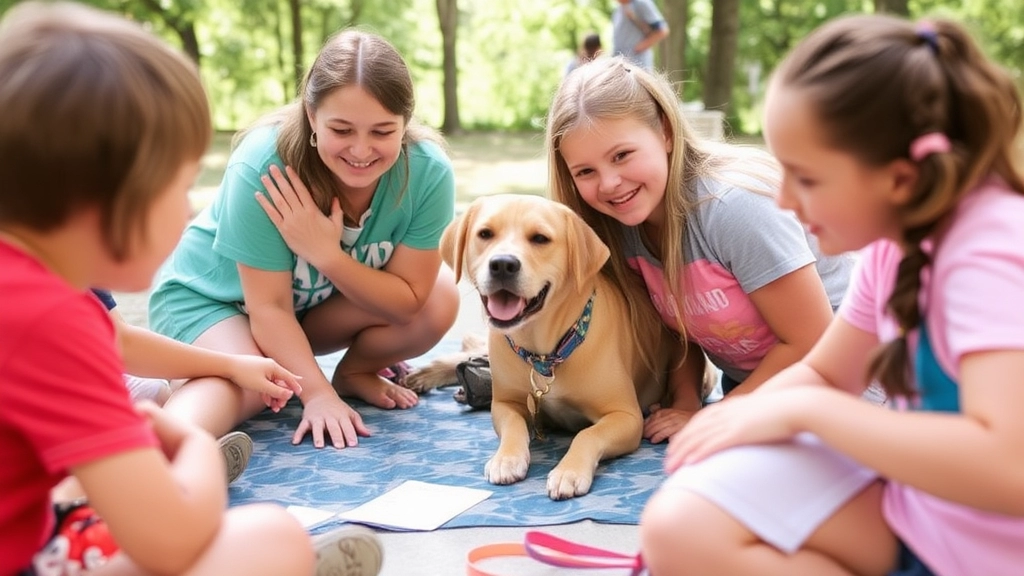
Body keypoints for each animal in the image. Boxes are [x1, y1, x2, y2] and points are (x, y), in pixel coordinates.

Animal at [407, 192, 671, 498]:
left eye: (540, 238)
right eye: (485, 234)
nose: (503, 264)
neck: (544, 351)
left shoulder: (626, 416)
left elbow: (587, 434)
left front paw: (569, 470)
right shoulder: (506, 403)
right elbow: (514, 426)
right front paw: (506, 458)